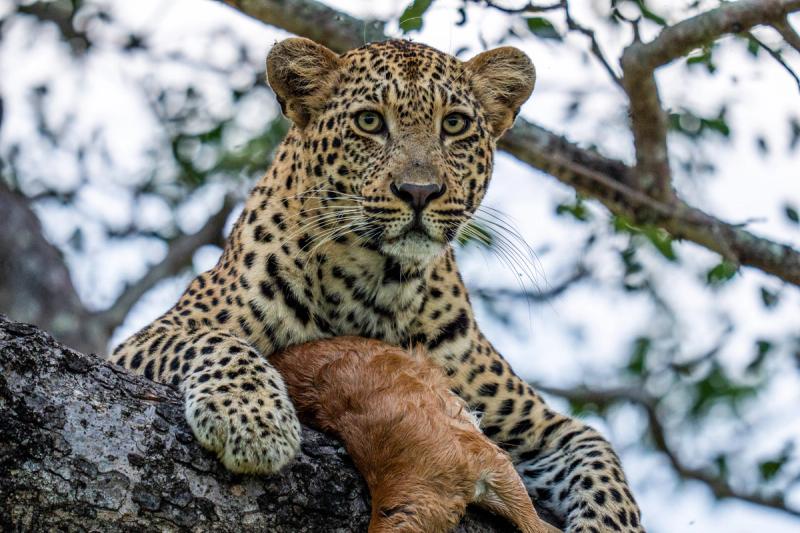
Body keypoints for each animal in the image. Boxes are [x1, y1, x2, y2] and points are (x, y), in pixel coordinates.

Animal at [111, 37, 644, 532]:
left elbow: (606, 477)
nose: (419, 192)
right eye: (369, 122)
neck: (379, 282)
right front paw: (253, 418)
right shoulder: (150, 338)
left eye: (454, 125)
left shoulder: (544, 430)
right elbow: (216, 341)